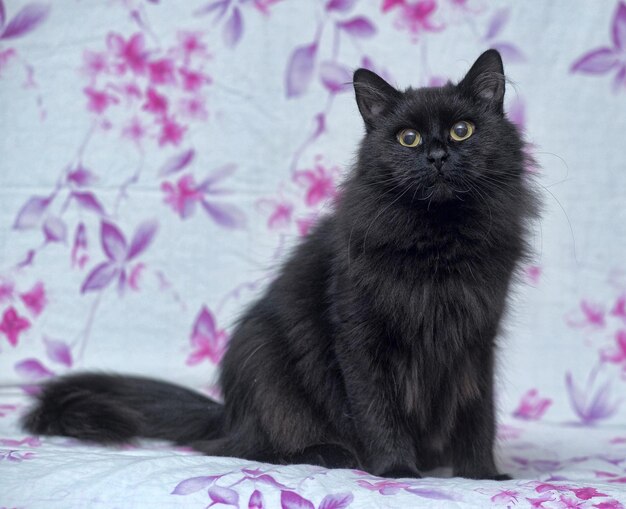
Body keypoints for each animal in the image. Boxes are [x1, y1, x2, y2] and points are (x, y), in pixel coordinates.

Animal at [22, 49, 536, 478]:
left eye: (462, 130)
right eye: (407, 138)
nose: (436, 154)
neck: (437, 239)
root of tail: (228, 415)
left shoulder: (475, 337)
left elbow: (479, 414)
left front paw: (481, 476)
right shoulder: (360, 335)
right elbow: (378, 411)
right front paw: (397, 472)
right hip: (266, 359)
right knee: (253, 447)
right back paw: (331, 454)